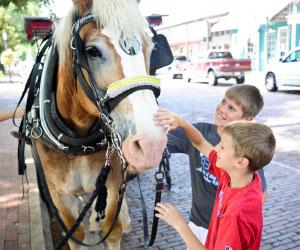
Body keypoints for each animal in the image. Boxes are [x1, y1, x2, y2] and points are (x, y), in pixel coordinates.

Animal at [34, 0, 169, 249]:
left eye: (151, 49)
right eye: (92, 51)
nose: (151, 145)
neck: (78, 141)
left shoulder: (114, 183)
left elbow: (113, 230)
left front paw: (112, 224)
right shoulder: (60, 194)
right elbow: (75, 234)